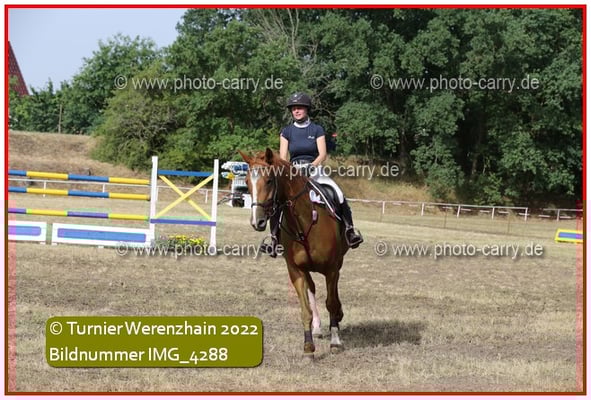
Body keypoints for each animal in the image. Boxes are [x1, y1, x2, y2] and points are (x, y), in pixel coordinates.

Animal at [239, 148, 348, 359]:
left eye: (269, 181)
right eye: (247, 182)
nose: (257, 222)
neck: (303, 224)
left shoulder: (331, 268)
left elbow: (331, 302)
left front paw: (335, 341)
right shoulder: (296, 271)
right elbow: (305, 309)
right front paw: (308, 347)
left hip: (338, 263)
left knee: (334, 292)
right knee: (312, 288)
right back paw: (317, 327)